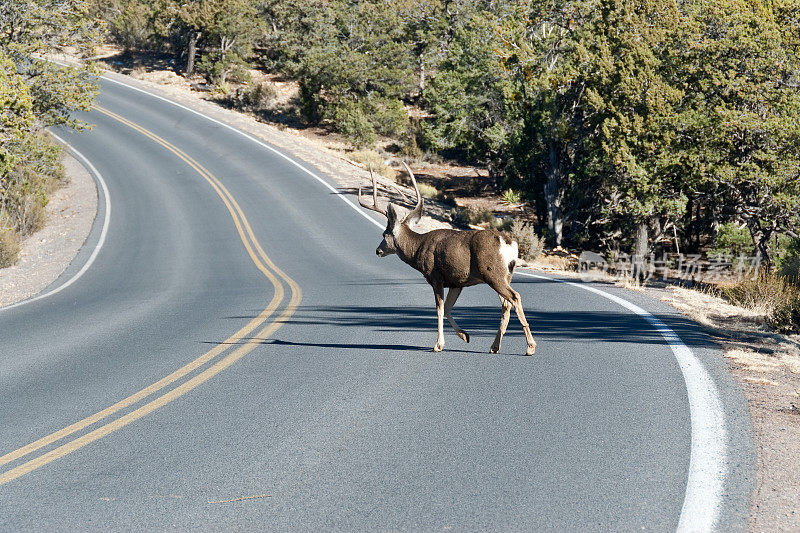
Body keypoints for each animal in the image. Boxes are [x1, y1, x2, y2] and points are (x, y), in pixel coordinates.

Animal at [360, 162, 536, 354]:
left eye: (385, 234)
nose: (378, 250)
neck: (418, 248)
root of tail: (508, 242)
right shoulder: (456, 282)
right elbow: (448, 309)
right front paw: (465, 335)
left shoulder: (436, 276)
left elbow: (439, 309)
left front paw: (438, 344)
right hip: (505, 275)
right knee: (506, 304)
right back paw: (494, 346)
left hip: (492, 272)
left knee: (515, 297)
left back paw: (530, 346)